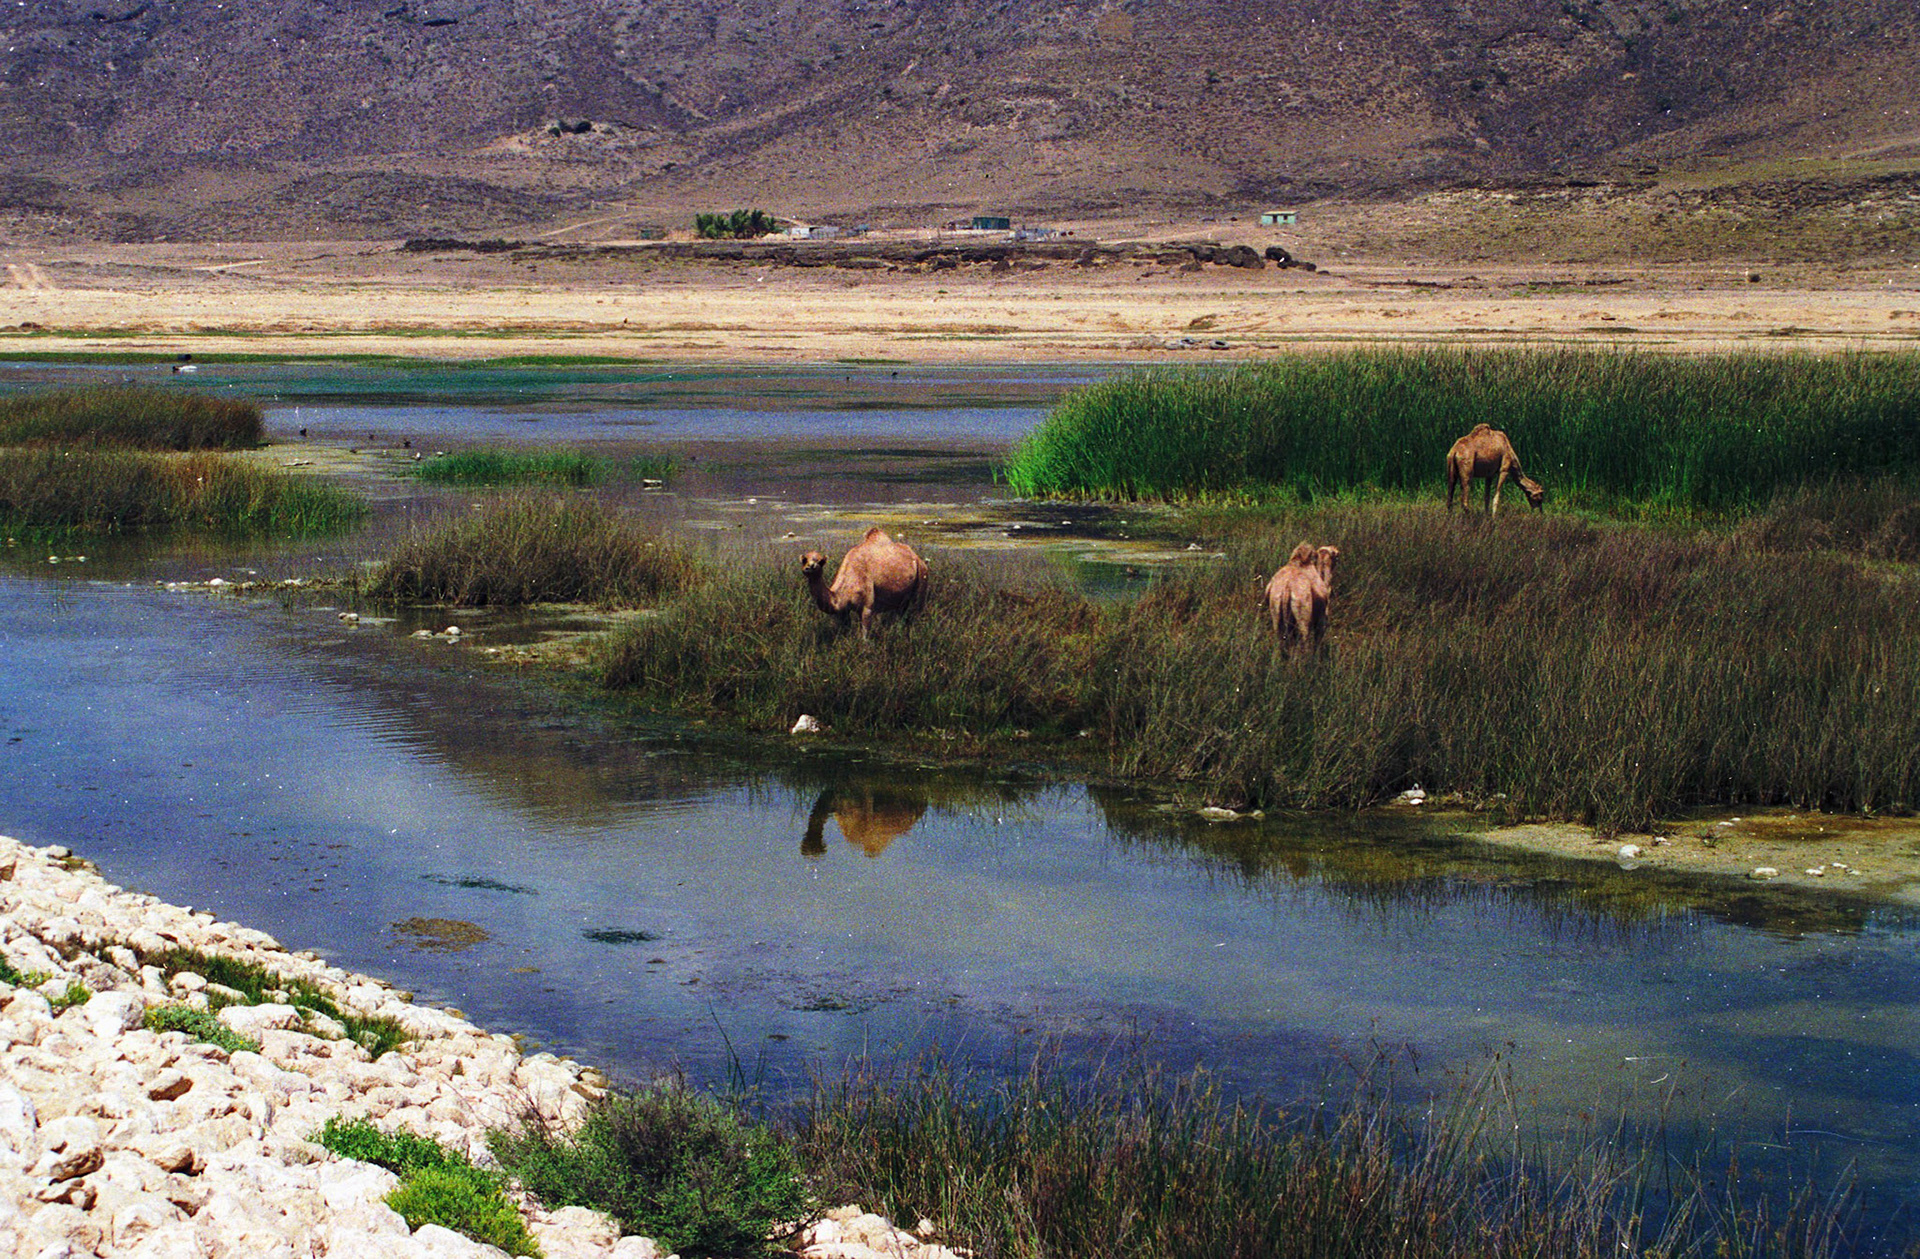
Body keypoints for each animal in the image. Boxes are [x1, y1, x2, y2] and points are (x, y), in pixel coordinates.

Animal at [801, 526, 931, 638]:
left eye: (820, 562)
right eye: (804, 560)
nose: (810, 567)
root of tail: (917, 558)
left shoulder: (867, 607)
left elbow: (865, 635)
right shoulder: (843, 611)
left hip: (922, 577)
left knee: (918, 608)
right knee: (903, 612)